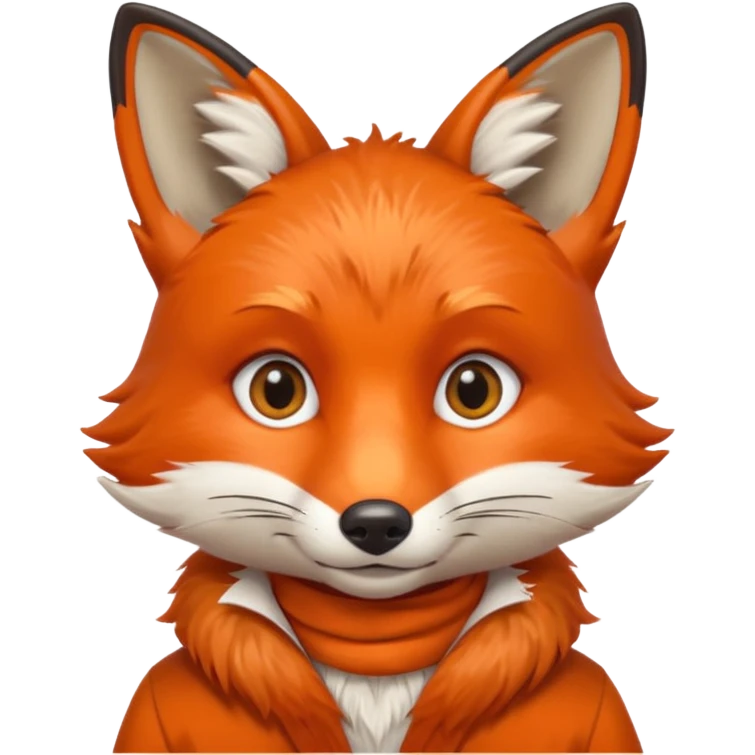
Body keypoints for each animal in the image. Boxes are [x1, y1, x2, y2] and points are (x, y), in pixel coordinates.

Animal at [91, 1, 669, 753]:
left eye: (473, 390)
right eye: (276, 390)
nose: (374, 524)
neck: (374, 662)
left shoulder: (600, 706)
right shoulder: (153, 707)